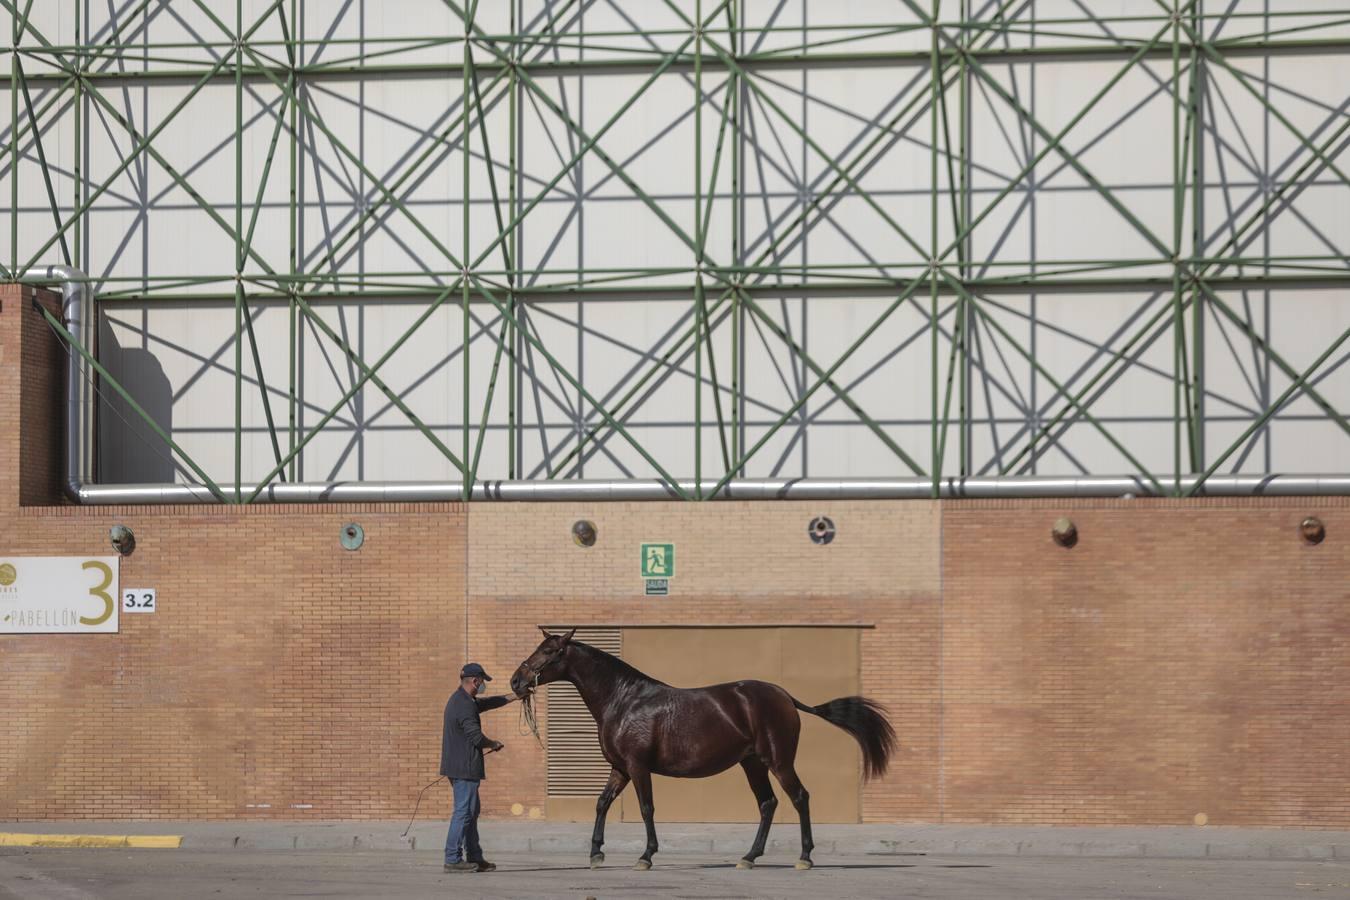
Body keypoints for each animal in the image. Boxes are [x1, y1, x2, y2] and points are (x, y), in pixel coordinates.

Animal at [507, 626, 896, 874]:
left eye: (549, 651)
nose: (516, 681)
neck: (625, 700)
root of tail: (784, 695)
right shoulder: (619, 768)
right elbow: (602, 803)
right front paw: (595, 853)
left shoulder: (637, 767)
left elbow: (646, 809)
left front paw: (646, 856)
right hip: (752, 764)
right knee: (768, 803)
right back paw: (749, 856)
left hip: (778, 760)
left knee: (799, 797)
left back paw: (804, 857)